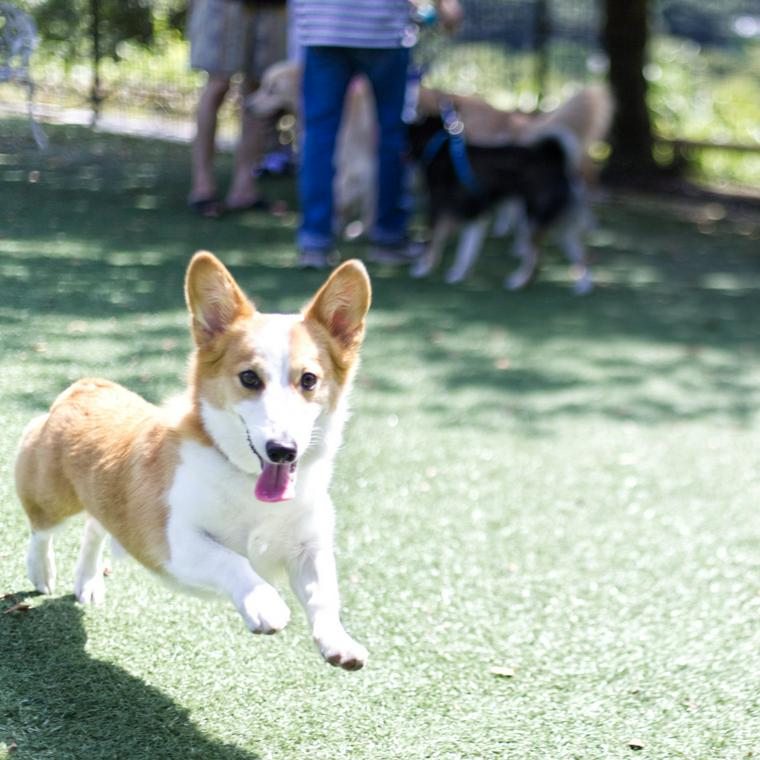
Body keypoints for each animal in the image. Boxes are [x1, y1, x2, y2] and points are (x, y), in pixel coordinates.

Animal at [410, 107, 592, 294]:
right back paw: (583, 287)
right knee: (582, 254)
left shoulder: (440, 211)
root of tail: (556, 162)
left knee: (536, 257)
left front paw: (422, 269)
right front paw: (458, 274)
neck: (440, 148)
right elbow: (467, 251)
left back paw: (518, 281)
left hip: (533, 219)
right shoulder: (475, 216)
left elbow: (434, 243)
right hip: (559, 225)